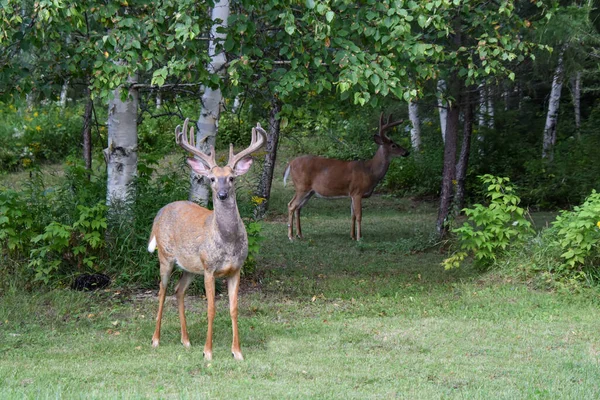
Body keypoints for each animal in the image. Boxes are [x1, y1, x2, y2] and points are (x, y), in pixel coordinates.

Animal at [146, 118, 264, 360]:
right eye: (212, 178)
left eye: (231, 178)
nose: (222, 194)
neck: (227, 242)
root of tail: (160, 213)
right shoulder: (209, 268)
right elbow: (211, 309)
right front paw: (208, 352)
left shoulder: (236, 269)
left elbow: (234, 308)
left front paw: (237, 352)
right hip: (165, 256)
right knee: (162, 291)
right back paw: (156, 339)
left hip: (190, 267)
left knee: (178, 290)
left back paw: (186, 340)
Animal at [282, 112, 408, 241]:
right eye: (393, 145)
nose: (406, 152)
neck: (370, 171)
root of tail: (290, 163)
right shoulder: (357, 192)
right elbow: (359, 215)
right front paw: (359, 238)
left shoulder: (352, 194)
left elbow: (352, 215)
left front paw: (352, 236)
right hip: (302, 186)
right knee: (291, 205)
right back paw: (291, 236)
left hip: (309, 191)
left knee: (298, 207)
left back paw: (300, 234)